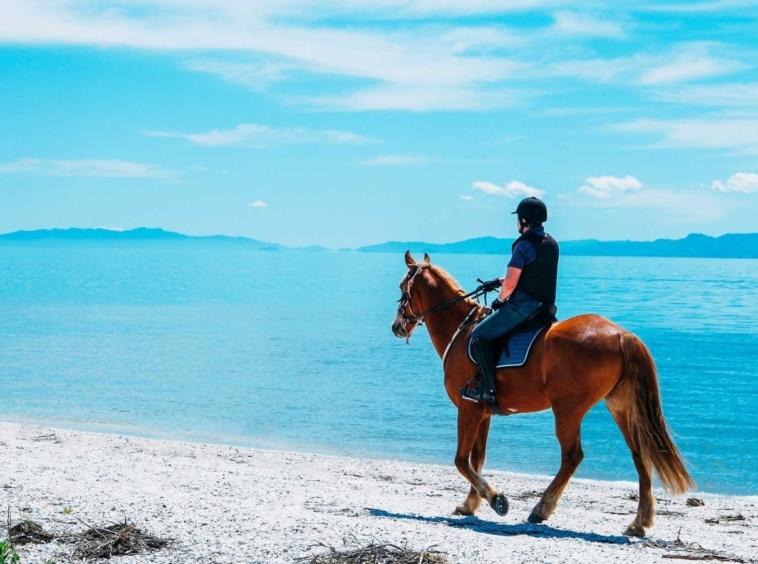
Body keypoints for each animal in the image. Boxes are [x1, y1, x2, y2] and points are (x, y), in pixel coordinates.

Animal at [392, 251, 696, 536]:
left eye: (402, 287)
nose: (396, 327)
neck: (463, 332)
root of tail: (622, 335)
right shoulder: (482, 413)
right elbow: (477, 458)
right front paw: (470, 504)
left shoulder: (468, 409)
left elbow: (461, 460)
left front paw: (496, 499)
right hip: (620, 407)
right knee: (638, 454)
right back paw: (639, 521)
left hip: (568, 410)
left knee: (572, 456)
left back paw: (542, 508)